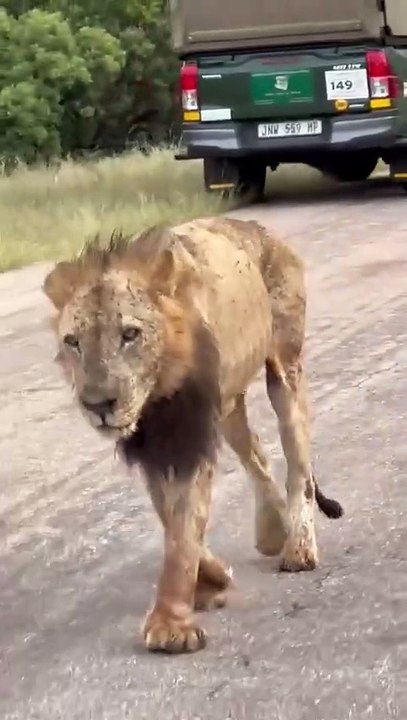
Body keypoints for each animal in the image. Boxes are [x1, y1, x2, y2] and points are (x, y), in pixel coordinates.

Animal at [43, 216, 343, 654]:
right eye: (73, 342)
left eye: (130, 334)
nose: (98, 404)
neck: (158, 389)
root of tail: (260, 228)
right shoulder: (152, 446)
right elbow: (170, 519)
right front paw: (211, 582)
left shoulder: (190, 436)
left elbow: (183, 528)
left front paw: (171, 625)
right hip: (230, 406)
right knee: (256, 454)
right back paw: (273, 531)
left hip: (285, 370)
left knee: (298, 467)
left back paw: (299, 547)